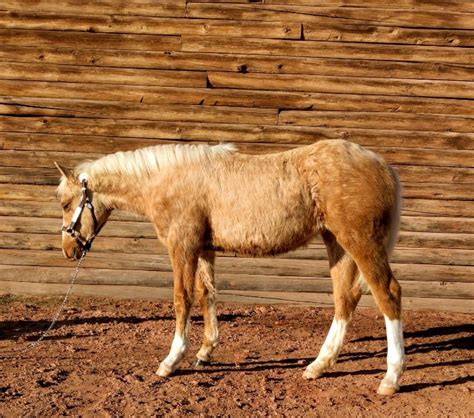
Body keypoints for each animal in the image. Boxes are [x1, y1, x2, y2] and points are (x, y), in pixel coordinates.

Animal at [55, 140, 404, 396]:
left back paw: (391, 378)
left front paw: (172, 360)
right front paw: (204, 352)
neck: (168, 180)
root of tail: (382, 165)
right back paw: (318, 365)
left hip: (360, 242)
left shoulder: (182, 247)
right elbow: (206, 295)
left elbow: (182, 299)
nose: (69, 250)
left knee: (388, 295)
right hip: (337, 244)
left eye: (65, 203)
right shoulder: (204, 250)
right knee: (345, 299)